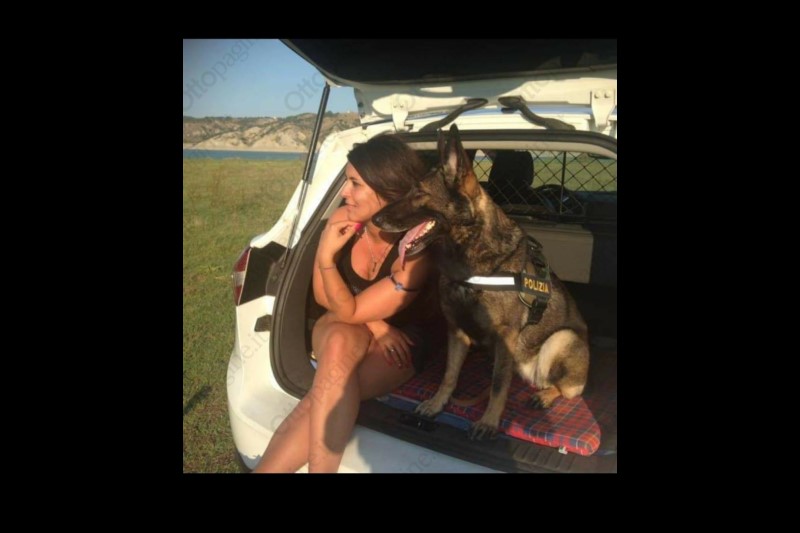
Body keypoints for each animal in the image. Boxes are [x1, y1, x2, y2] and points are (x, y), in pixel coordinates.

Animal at [373, 125, 590, 440]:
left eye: (419, 192)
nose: (374, 220)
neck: (468, 254)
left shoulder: (506, 337)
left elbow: (498, 385)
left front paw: (489, 422)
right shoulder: (456, 329)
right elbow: (449, 375)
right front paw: (437, 404)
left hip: (561, 339)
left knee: (567, 389)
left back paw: (545, 395)